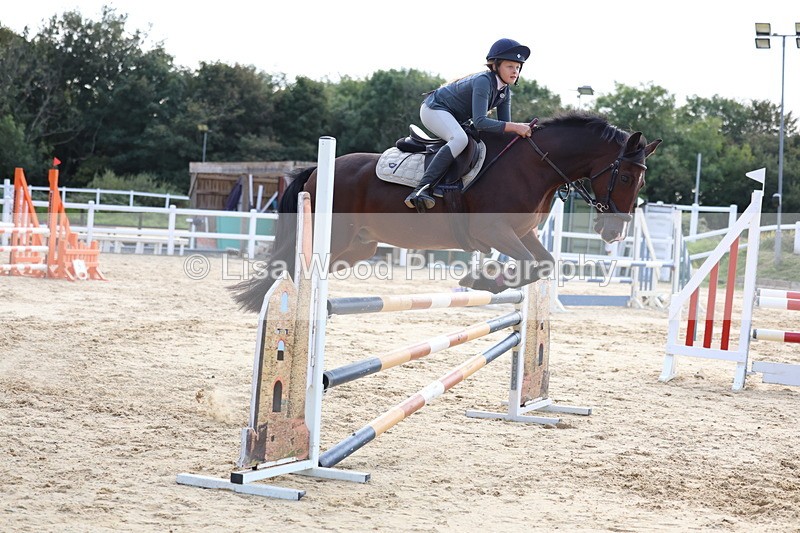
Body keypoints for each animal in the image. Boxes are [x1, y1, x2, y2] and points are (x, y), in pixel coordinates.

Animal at [231, 112, 661, 313]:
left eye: (641, 180)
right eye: (625, 176)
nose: (614, 233)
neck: (534, 166)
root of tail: (318, 170)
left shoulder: (524, 233)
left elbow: (543, 263)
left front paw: (484, 280)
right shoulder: (495, 231)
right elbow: (530, 264)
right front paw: (480, 279)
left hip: (358, 247)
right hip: (335, 238)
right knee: (295, 269)